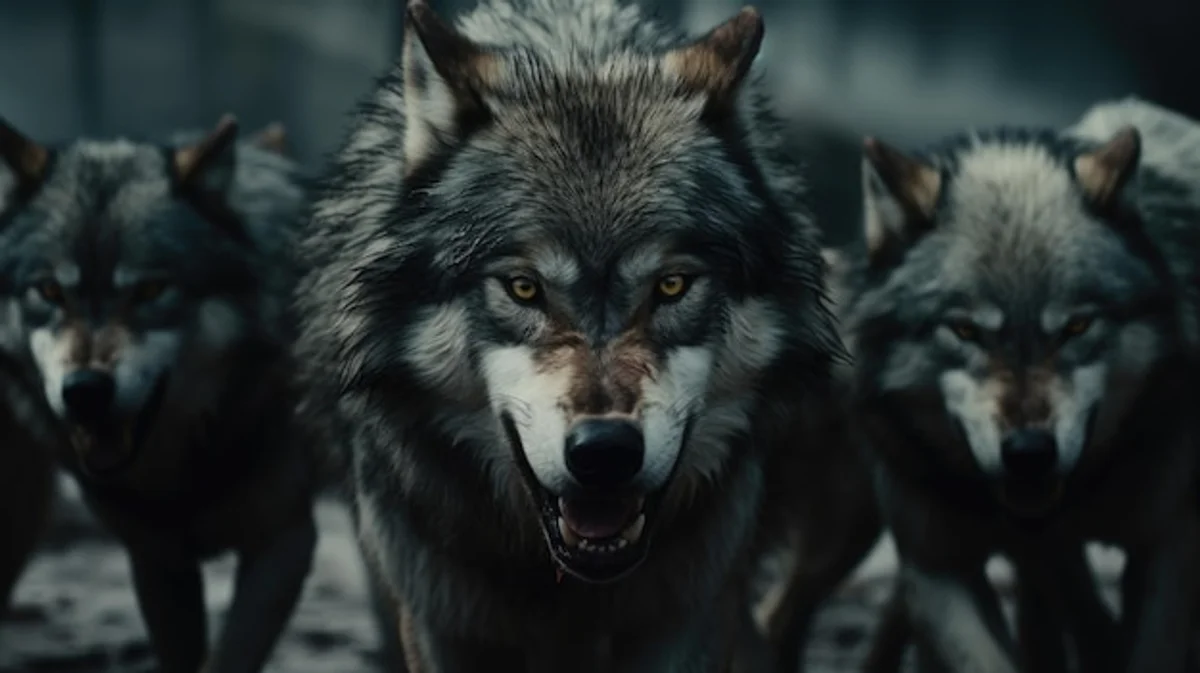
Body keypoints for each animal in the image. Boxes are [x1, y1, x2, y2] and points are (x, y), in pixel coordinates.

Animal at [0, 114, 318, 673]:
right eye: (50, 291)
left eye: (150, 290)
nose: (84, 391)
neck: (183, 471)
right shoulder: (158, 561)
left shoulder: (283, 546)